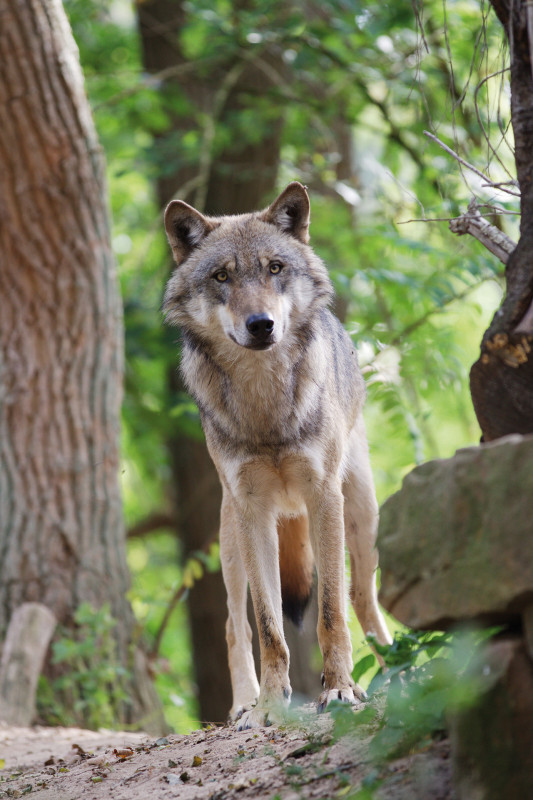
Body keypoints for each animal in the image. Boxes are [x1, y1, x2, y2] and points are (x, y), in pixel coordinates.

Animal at [162, 183, 390, 732]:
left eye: (274, 268)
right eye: (222, 276)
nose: (261, 324)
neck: (265, 407)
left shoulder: (323, 497)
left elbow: (330, 614)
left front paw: (339, 690)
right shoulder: (253, 511)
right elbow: (268, 627)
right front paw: (268, 705)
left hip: (362, 518)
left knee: (362, 601)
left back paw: (397, 667)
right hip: (230, 539)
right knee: (233, 625)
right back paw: (242, 704)